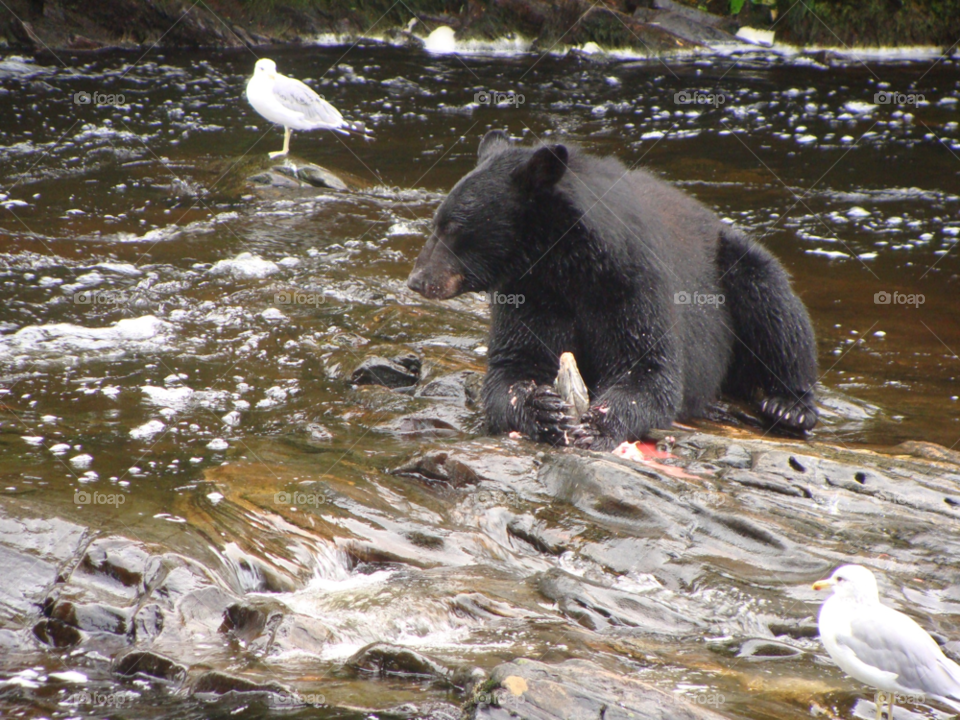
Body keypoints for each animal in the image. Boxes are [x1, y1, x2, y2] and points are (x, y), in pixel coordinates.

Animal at [404, 129, 816, 444]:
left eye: (452, 227)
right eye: (436, 222)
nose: (416, 279)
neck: (565, 264)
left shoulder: (633, 282)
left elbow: (649, 369)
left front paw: (597, 425)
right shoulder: (529, 292)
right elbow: (513, 364)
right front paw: (543, 409)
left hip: (732, 260)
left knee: (776, 308)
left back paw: (789, 405)